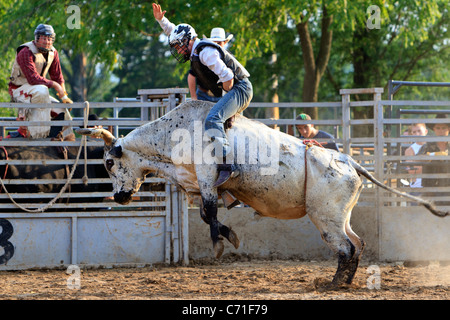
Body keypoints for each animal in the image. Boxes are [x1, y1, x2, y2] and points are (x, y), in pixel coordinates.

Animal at [76, 100, 446, 288]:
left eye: (108, 162)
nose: (119, 199)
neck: (173, 133)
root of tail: (349, 161)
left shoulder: (208, 178)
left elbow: (210, 213)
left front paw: (223, 241)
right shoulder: (200, 184)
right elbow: (205, 213)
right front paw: (227, 237)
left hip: (326, 219)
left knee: (346, 247)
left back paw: (331, 284)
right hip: (341, 216)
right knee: (357, 243)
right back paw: (340, 282)